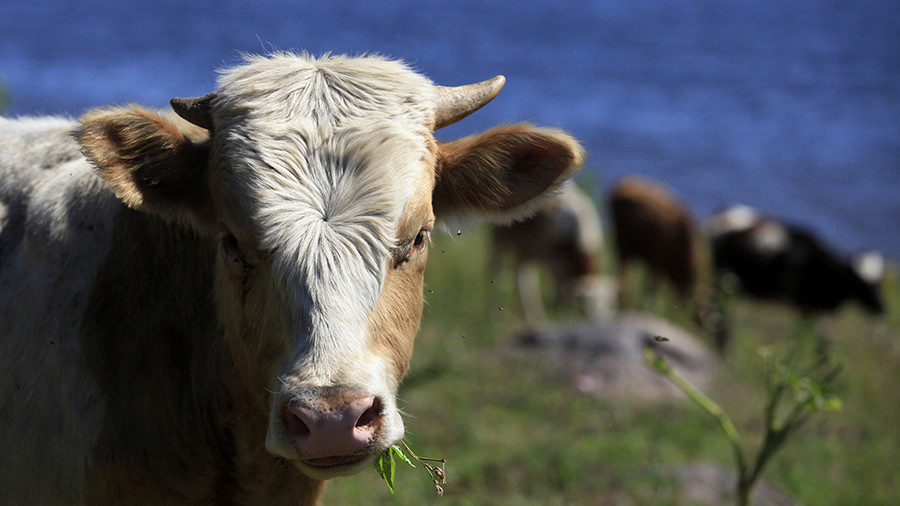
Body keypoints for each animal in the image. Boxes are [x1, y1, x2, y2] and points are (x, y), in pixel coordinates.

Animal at [489, 181, 615, 323]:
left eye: (610, 304)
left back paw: (533, 315)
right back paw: (491, 312)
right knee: (494, 269)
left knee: (523, 280)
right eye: (588, 306)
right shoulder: (553, 259)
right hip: (499, 239)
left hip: (526, 249)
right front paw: (561, 314)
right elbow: (560, 289)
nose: (602, 321)